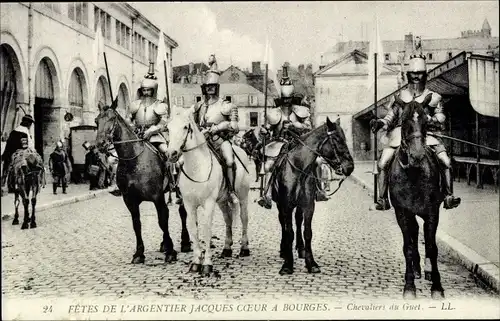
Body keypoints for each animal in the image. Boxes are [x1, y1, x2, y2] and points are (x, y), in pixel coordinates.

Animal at [95, 99, 191, 262]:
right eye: (96, 121)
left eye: (112, 119)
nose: (100, 144)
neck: (135, 160)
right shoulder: (130, 200)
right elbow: (136, 224)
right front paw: (139, 253)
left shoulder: (157, 197)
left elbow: (162, 220)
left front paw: (171, 251)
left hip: (180, 190)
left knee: (182, 212)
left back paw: (185, 243)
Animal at [165, 107, 250, 276]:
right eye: (168, 128)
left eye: (185, 127)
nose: (171, 154)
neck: (197, 167)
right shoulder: (189, 205)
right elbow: (193, 229)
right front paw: (196, 262)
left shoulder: (208, 204)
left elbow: (206, 230)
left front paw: (207, 264)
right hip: (222, 201)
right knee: (228, 219)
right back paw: (227, 248)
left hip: (243, 197)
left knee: (244, 218)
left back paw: (244, 248)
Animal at [272, 116, 354, 274]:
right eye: (337, 140)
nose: (350, 167)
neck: (298, 169)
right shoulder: (286, 205)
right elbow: (289, 231)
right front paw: (287, 264)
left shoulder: (308, 206)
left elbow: (307, 232)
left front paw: (311, 263)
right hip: (280, 205)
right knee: (283, 223)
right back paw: (284, 250)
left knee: (298, 221)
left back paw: (301, 248)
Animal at [386, 94, 446, 298]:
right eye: (403, 121)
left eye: (426, 121)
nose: (417, 155)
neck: (413, 172)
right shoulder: (402, 213)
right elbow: (409, 248)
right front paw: (409, 286)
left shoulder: (432, 212)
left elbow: (432, 247)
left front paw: (437, 287)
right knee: (413, 233)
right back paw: (418, 269)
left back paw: (427, 270)